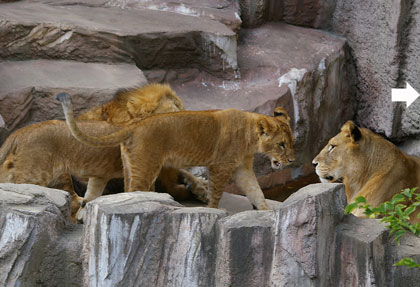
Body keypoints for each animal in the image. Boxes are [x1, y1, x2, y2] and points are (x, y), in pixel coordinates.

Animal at [57, 93, 296, 210]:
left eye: (291, 142)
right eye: (281, 144)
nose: (292, 161)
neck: (249, 136)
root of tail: (134, 125)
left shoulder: (242, 168)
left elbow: (256, 191)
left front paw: (265, 213)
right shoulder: (220, 166)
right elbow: (217, 193)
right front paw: (213, 210)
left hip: (130, 166)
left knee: (127, 189)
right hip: (146, 167)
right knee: (134, 190)